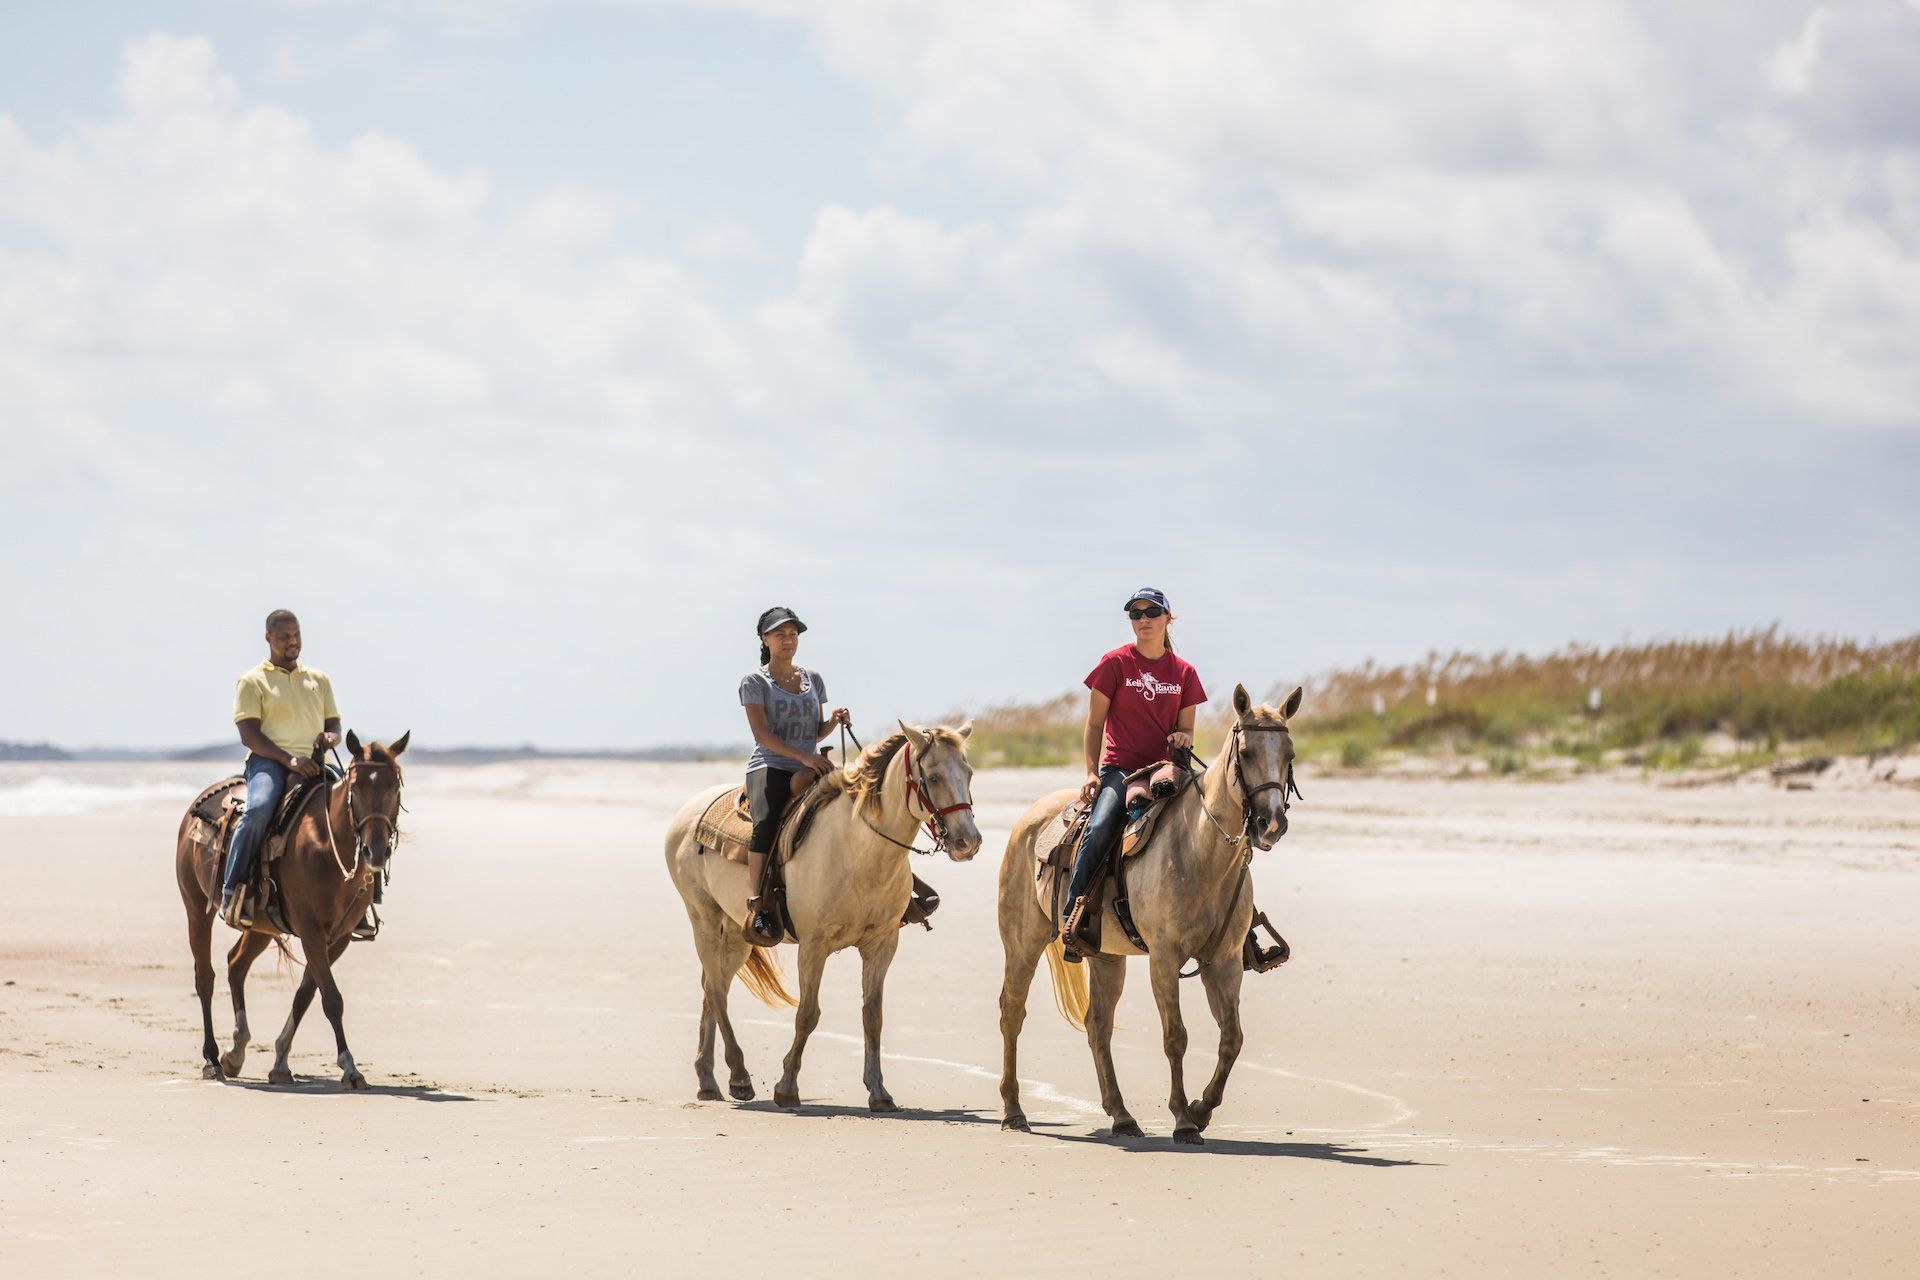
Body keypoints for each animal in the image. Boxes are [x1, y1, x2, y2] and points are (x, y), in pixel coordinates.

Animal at [173, 730, 408, 1090]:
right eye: (355, 790)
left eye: (395, 789)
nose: (376, 850)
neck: (327, 845)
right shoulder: (311, 932)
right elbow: (331, 999)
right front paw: (350, 1068)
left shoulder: (336, 938)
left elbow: (306, 994)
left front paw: (281, 1063)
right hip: (196, 909)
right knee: (205, 978)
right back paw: (212, 1058)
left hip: (260, 925)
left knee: (236, 964)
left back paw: (236, 1051)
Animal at [663, 722, 983, 1111]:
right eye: (933, 777)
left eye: (969, 773)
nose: (968, 842)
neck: (859, 850)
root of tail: (688, 812)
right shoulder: (813, 946)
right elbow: (807, 1014)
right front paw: (787, 1087)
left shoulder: (882, 944)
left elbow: (872, 1016)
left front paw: (879, 1092)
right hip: (704, 917)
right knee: (715, 989)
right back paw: (738, 1076)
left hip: (738, 932)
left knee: (714, 986)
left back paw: (708, 1080)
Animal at [996, 683, 1301, 1143]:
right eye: (1245, 752)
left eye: (1289, 753)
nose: (1271, 824)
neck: (1200, 850)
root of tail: (1028, 820)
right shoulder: (1164, 957)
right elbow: (1175, 1036)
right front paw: (1183, 1121)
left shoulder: (1225, 962)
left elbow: (1232, 1039)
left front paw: (1201, 1110)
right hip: (1022, 943)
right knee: (1012, 1012)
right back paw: (1014, 1111)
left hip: (1106, 956)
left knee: (1097, 1025)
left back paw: (1121, 1116)